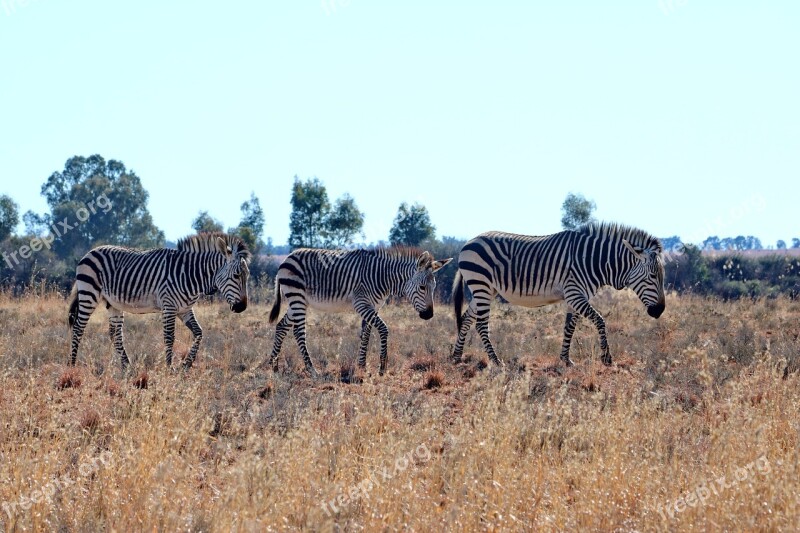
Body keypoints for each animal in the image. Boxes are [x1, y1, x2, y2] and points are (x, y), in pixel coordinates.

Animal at [69, 233, 250, 370]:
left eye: (247, 276)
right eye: (236, 276)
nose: (242, 307)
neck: (190, 275)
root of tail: (91, 251)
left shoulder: (184, 310)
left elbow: (199, 332)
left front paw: (187, 364)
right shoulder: (169, 307)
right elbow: (169, 337)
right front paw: (169, 368)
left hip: (112, 303)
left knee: (115, 334)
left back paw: (127, 366)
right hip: (89, 293)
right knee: (78, 328)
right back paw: (72, 364)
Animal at [268, 247, 454, 376]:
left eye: (434, 287)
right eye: (422, 287)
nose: (428, 315)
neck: (383, 278)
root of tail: (288, 257)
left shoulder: (373, 306)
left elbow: (366, 334)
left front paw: (362, 366)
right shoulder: (362, 304)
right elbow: (383, 329)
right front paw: (382, 367)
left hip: (297, 301)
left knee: (282, 326)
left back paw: (273, 366)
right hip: (297, 297)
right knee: (299, 332)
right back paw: (312, 370)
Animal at [454, 222, 664, 368]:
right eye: (653, 276)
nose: (660, 311)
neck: (592, 260)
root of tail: (468, 242)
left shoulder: (576, 296)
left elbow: (569, 327)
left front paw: (565, 359)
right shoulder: (574, 294)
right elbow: (600, 320)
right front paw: (606, 358)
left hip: (485, 289)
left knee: (466, 318)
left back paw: (456, 356)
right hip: (481, 284)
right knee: (481, 325)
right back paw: (495, 360)